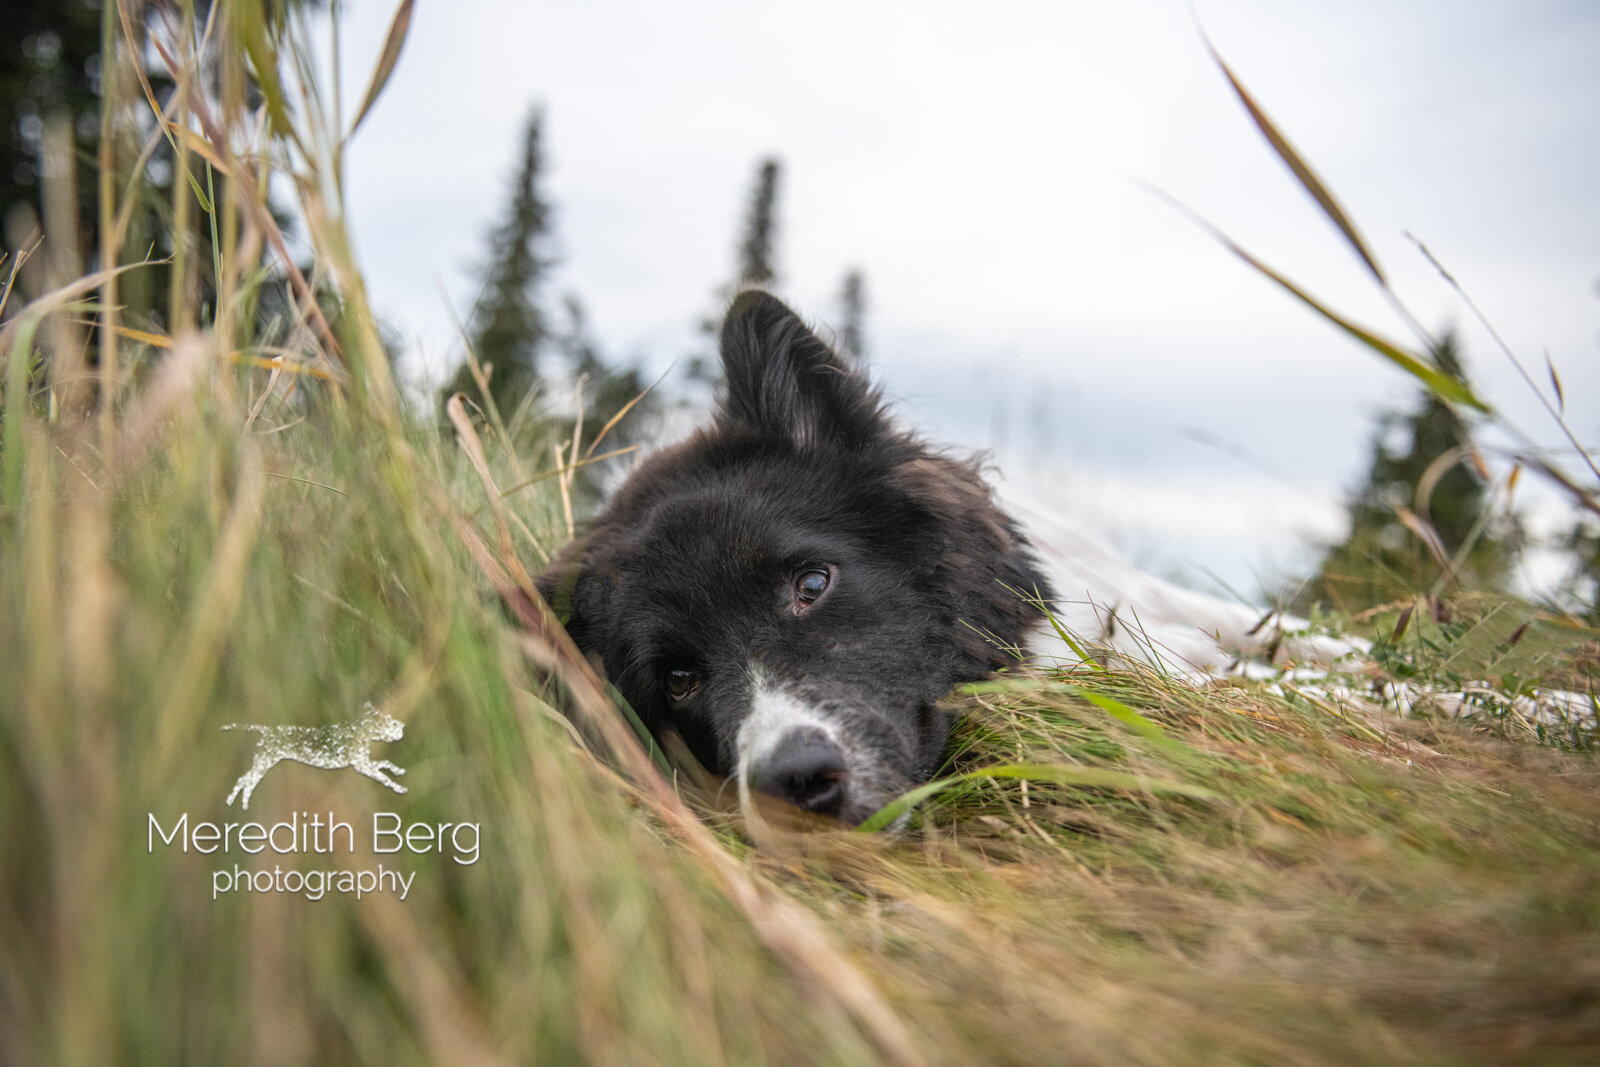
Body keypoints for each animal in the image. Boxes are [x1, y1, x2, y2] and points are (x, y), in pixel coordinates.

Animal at [224, 700, 409, 809]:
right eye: (389, 721)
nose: (402, 725)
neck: (361, 732)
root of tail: (266, 730)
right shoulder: (363, 766)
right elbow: (384, 777)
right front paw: (399, 788)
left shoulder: (365, 763)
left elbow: (385, 764)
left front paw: (398, 771)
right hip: (263, 764)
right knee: (246, 781)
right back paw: (240, 802)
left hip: (262, 764)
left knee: (244, 780)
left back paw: (234, 801)